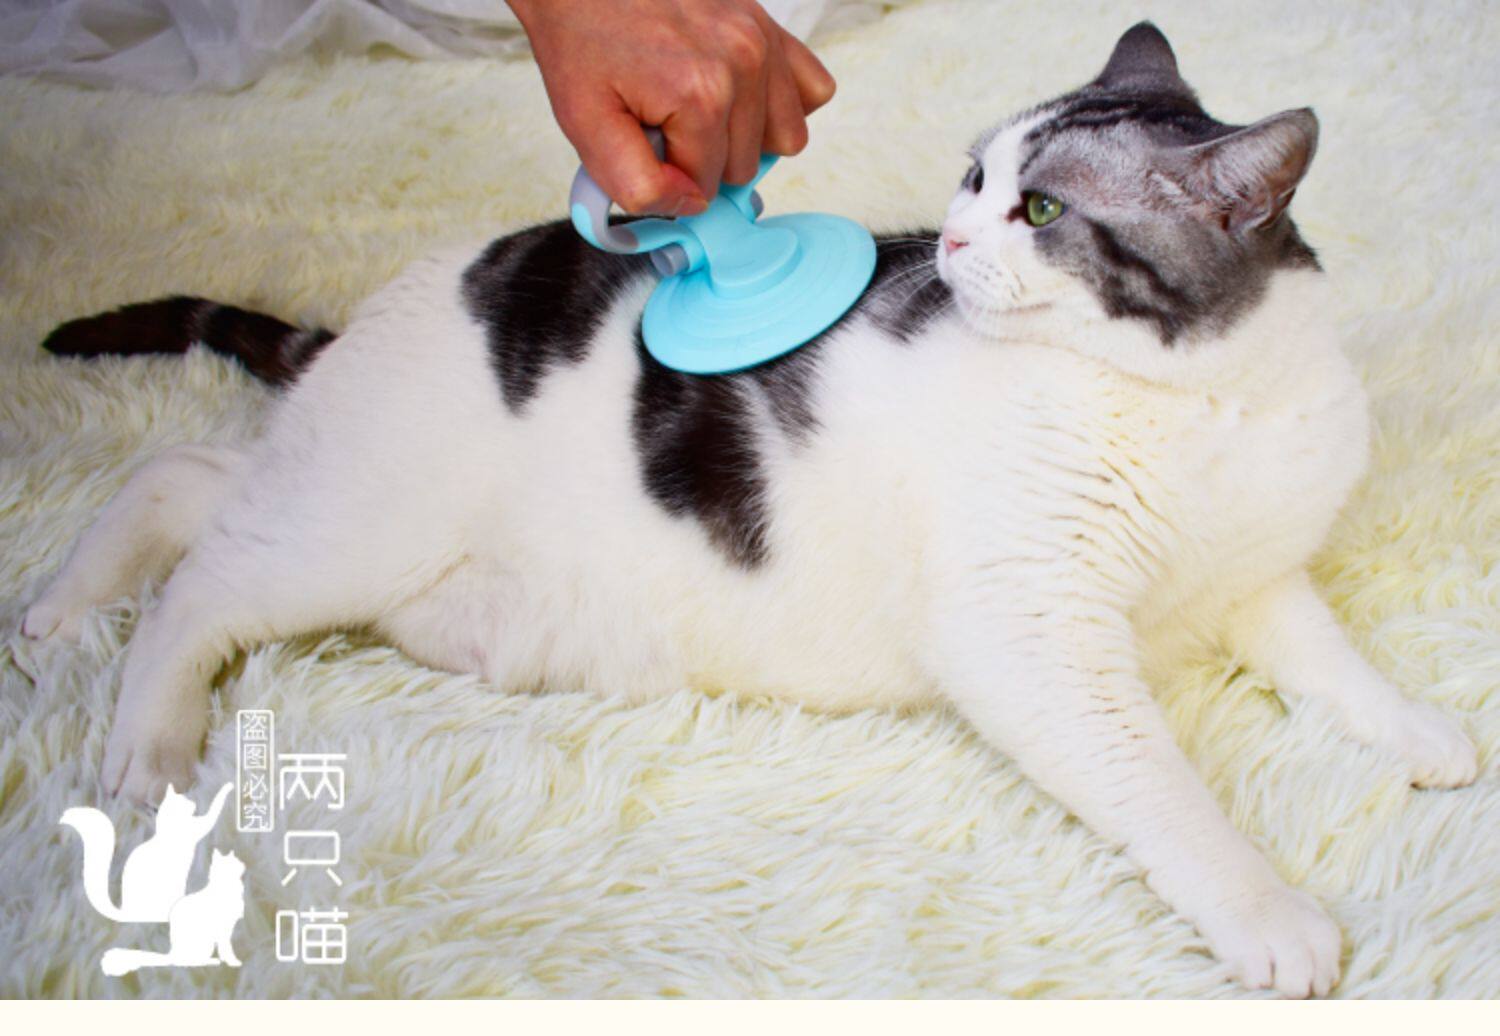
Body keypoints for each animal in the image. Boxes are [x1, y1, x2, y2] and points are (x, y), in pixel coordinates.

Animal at [99, 849, 246, 976]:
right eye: (235, 862)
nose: (243, 865)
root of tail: (172, 955)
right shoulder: (223, 930)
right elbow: (227, 949)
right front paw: (233, 962)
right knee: (191, 962)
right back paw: (212, 962)